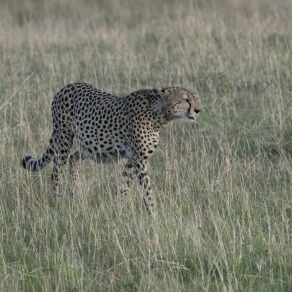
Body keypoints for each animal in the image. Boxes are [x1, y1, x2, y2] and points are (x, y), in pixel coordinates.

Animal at [21, 82, 201, 212]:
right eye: (185, 99)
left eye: (195, 98)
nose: (198, 110)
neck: (159, 115)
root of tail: (67, 86)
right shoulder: (139, 160)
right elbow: (147, 190)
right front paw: (153, 214)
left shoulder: (132, 159)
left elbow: (124, 185)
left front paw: (118, 209)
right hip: (63, 139)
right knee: (56, 171)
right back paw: (57, 201)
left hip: (89, 147)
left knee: (73, 159)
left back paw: (76, 195)